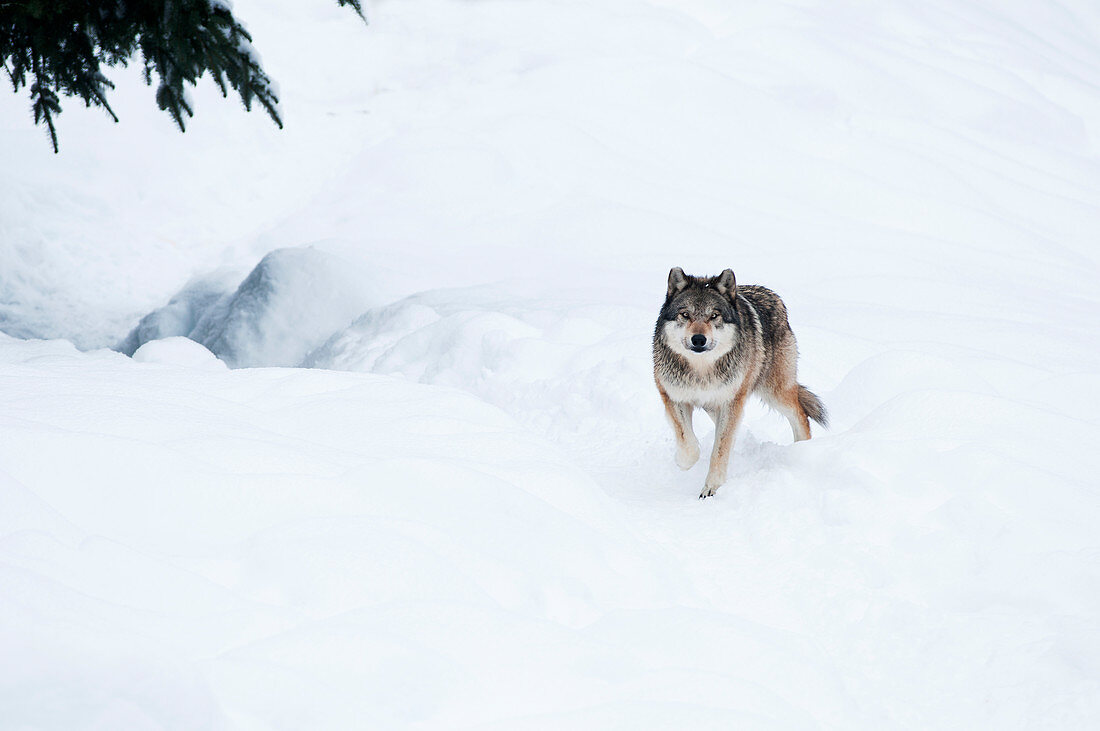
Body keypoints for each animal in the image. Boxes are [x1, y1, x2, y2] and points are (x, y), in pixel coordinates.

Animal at [651, 264, 827, 499]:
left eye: (714, 315)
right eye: (685, 314)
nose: (698, 339)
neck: (701, 371)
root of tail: (772, 295)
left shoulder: (732, 402)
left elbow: (720, 449)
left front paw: (711, 488)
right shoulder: (672, 396)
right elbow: (689, 443)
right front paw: (683, 462)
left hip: (774, 392)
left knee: (800, 414)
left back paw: (803, 451)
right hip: (718, 406)